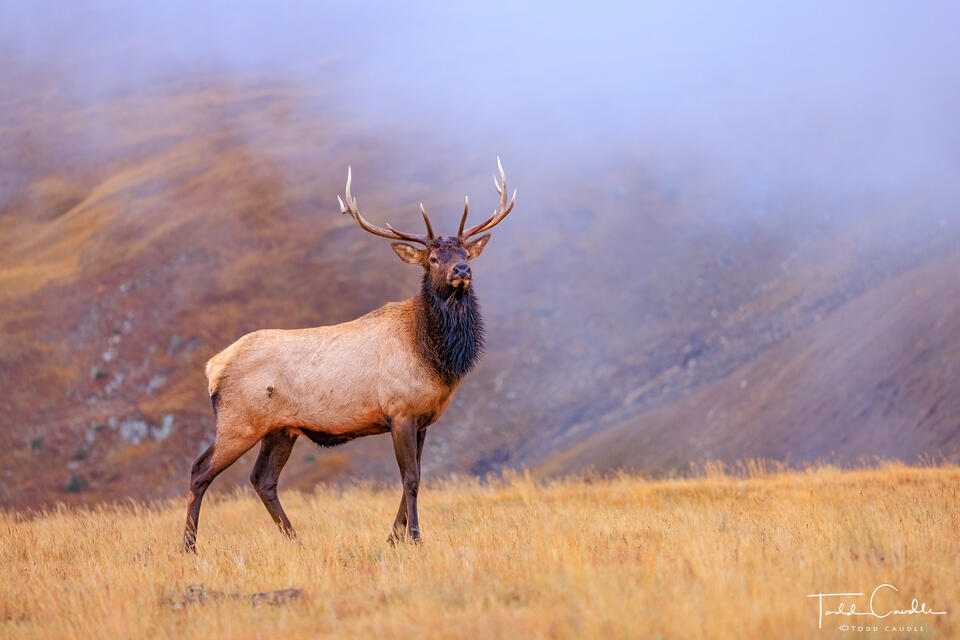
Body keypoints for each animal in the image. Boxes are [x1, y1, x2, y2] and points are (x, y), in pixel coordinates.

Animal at [182, 158, 517, 552]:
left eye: (465, 253)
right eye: (433, 258)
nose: (462, 271)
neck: (433, 357)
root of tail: (212, 367)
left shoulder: (423, 419)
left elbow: (415, 477)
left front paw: (393, 538)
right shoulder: (399, 411)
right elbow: (410, 478)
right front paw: (414, 539)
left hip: (280, 429)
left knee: (262, 479)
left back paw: (296, 541)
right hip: (239, 421)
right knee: (200, 470)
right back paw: (189, 547)